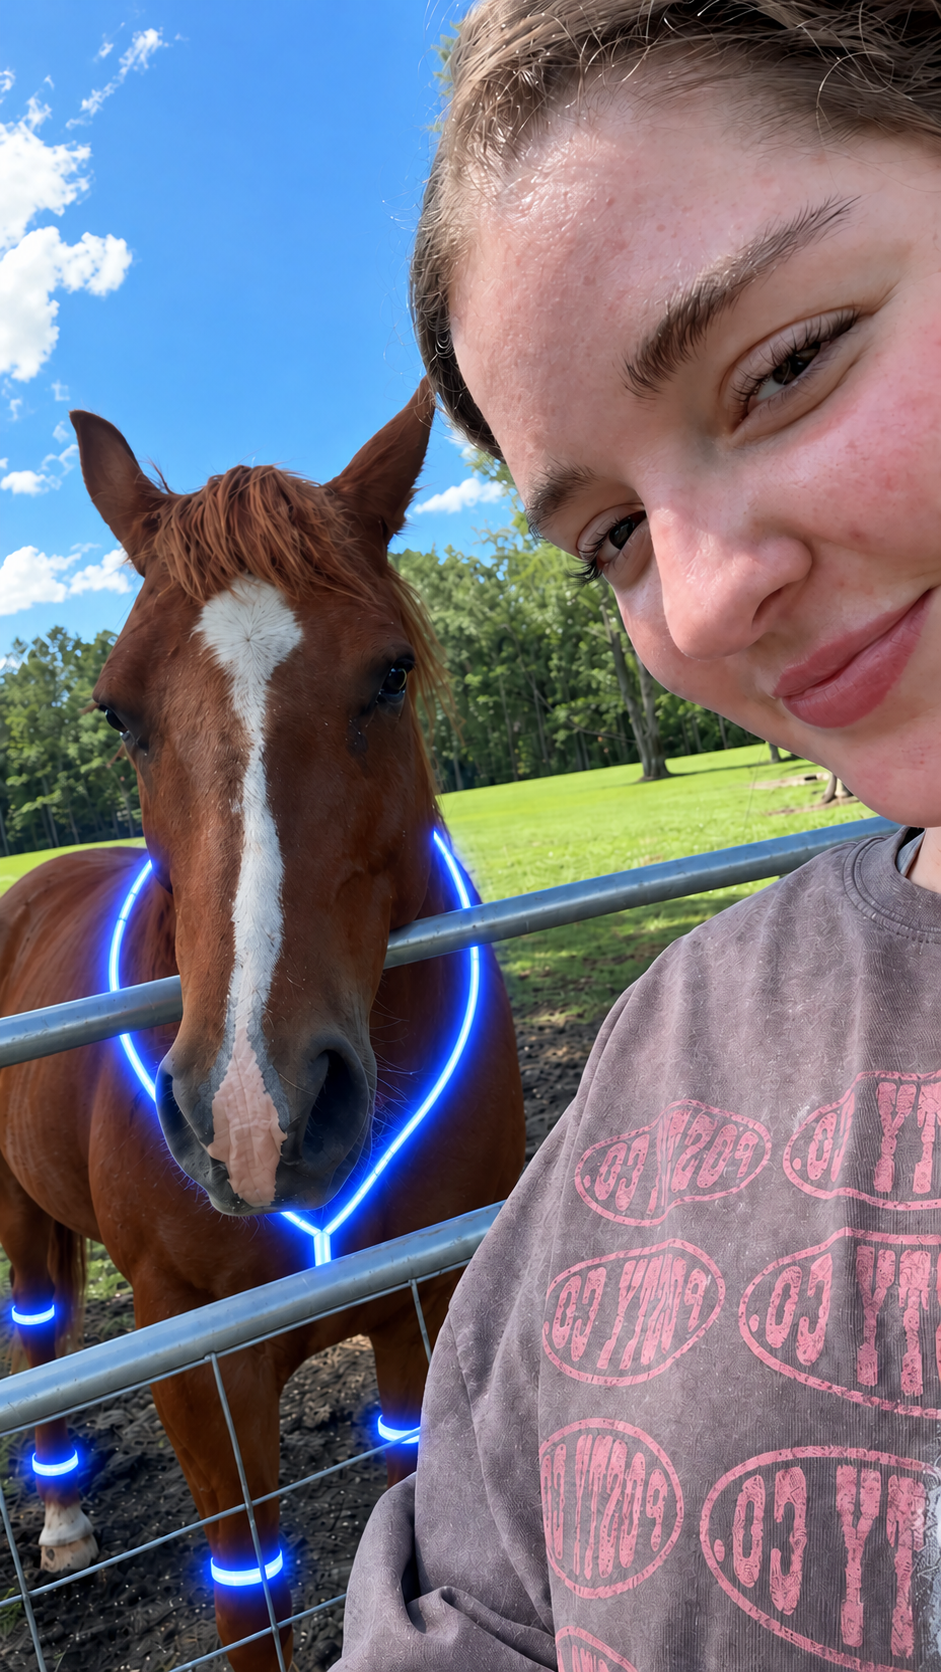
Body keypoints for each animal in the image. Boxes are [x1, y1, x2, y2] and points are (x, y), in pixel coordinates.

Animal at [0, 386, 525, 1670]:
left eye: (389, 674)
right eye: (117, 712)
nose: (251, 1118)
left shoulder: (424, 1311)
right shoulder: (202, 1373)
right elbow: (249, 1604)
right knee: (37, 1326)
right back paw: (63, 1519)